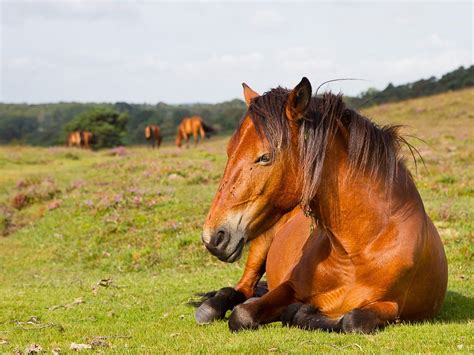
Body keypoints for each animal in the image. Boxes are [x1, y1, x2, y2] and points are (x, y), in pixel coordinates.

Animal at [194, 78, 446, 334]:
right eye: (229, 152)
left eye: (265, 157)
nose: (212, 237)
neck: (358, 250)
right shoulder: (290, 286)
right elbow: (243, 314)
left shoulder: (392, 307)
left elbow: (351, 320)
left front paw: (301, 312)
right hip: (261, 243)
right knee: (243, 288)